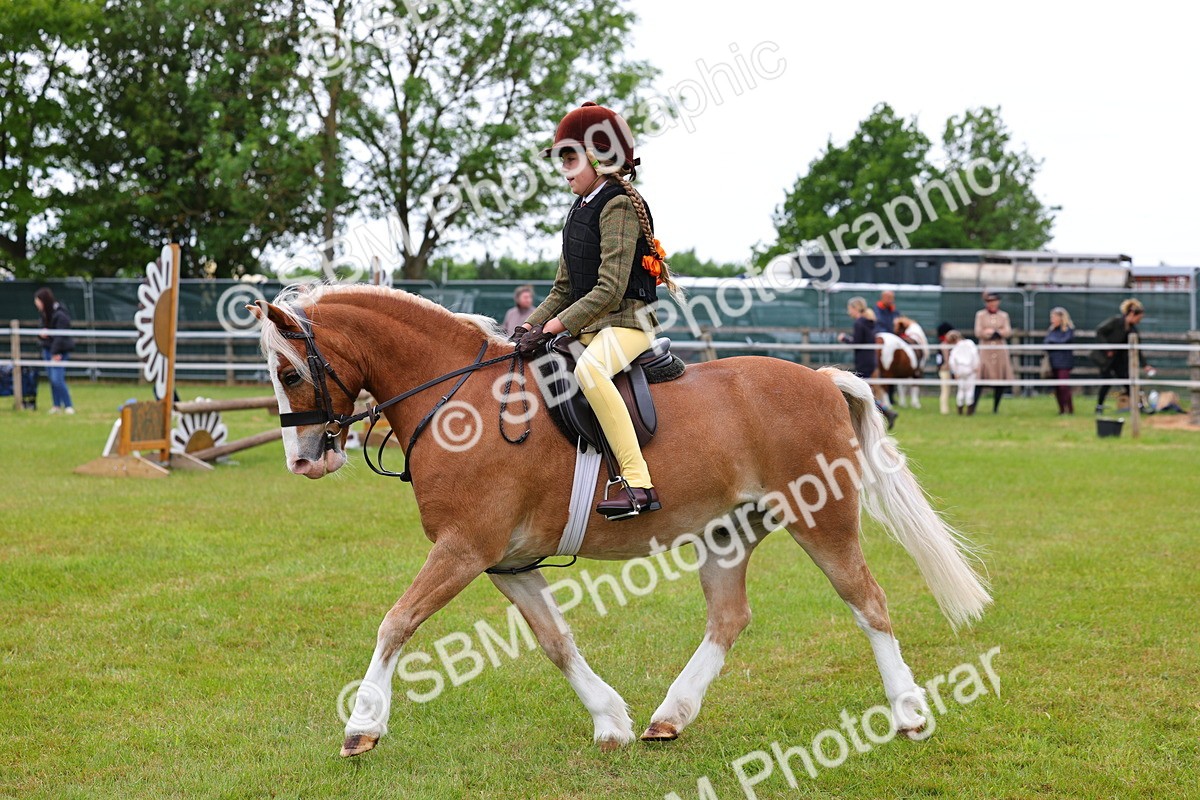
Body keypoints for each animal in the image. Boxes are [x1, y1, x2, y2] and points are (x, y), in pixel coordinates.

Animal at [249, 284, 991, 758]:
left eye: (289, 373)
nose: (304, 460)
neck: (459, 397)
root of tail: (822, 378)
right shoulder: (506, 563)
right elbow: (556, 641)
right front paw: (610, 720)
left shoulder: (462, 550)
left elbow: (396, 623)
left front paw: (362, 725)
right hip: (728, 532)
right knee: (729, 619)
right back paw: (669, 716)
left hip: (822, 518)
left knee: (869, 602)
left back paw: (909, 713)